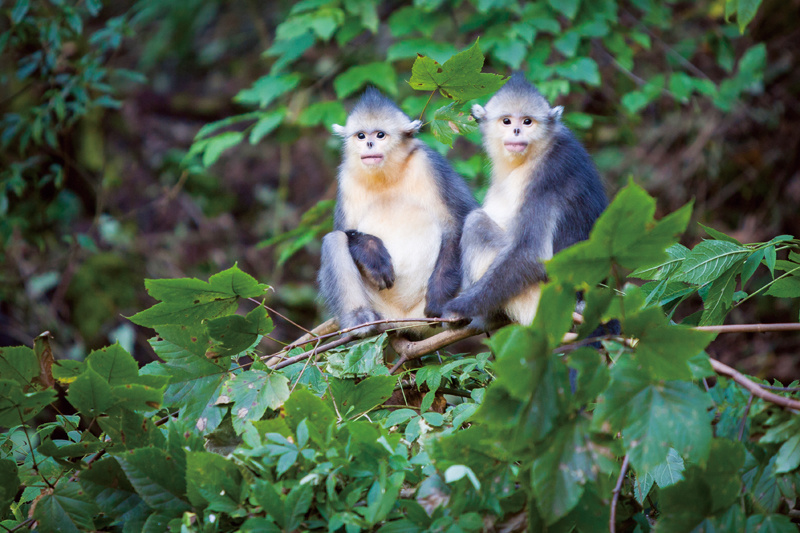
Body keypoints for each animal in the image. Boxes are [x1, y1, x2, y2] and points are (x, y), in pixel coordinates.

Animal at [444, 70, 608, 328]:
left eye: (527, 121)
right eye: (507, 121)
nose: (516, 131)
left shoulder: (548, 175)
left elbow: (530, 253)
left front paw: (457, 308)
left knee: (476, 222)